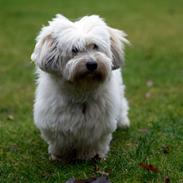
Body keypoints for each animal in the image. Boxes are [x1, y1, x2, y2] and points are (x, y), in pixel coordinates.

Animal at [30, 13, 129, 160]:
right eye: (74, 50)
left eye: (95, 46)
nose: (92, 64)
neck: (81, 91)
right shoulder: (54, 122)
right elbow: (59, 141)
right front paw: (60, 157)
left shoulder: (99, 125)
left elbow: (93, 142)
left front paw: (89, 155)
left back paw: (124, 122)